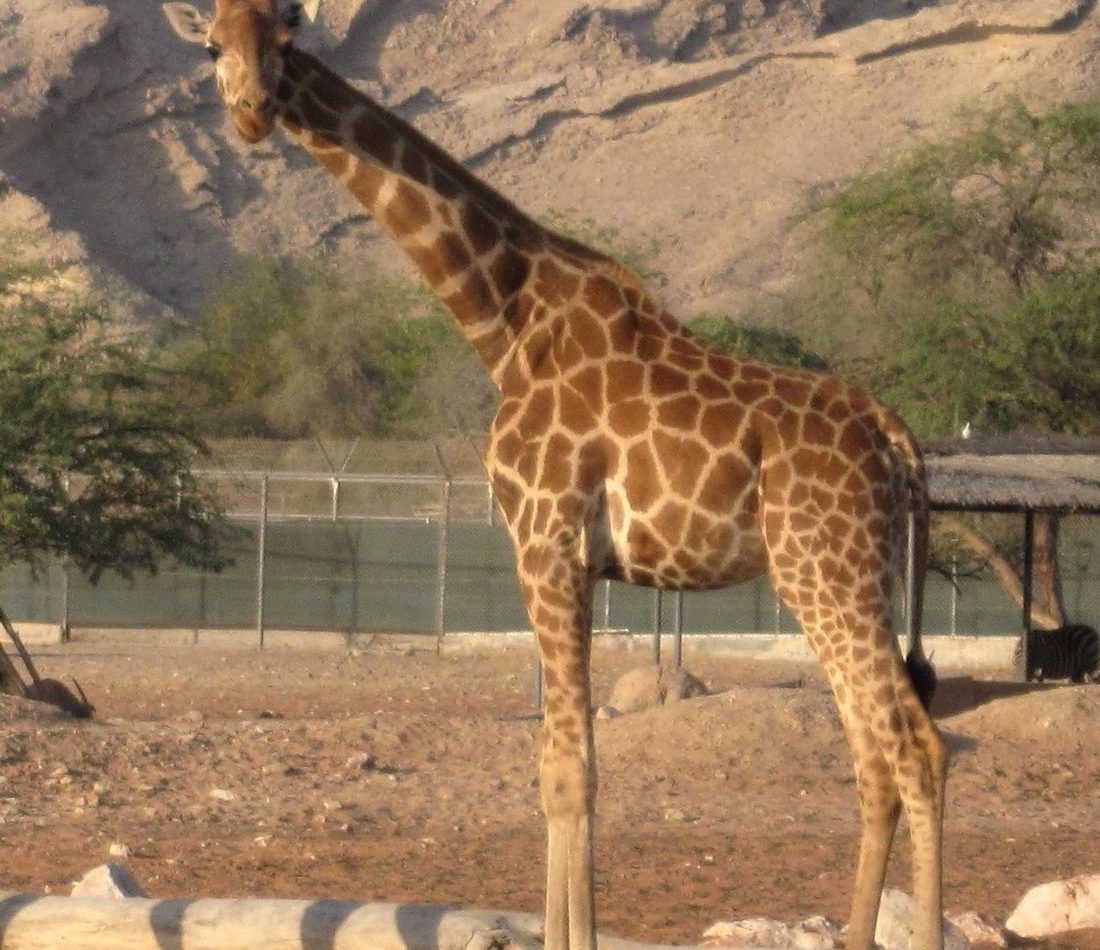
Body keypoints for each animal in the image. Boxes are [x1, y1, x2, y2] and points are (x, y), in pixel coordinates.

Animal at [162, 3, 947, 948]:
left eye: (283, 42)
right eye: (213, 45)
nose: (249, 113)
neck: (503, 322)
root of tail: (895, 438)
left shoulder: (544, 544)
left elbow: (569, 773)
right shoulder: (572, 559)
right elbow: (561, 770)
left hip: (825, 573)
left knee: (913, 748)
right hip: (850, 578)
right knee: (873, 754)